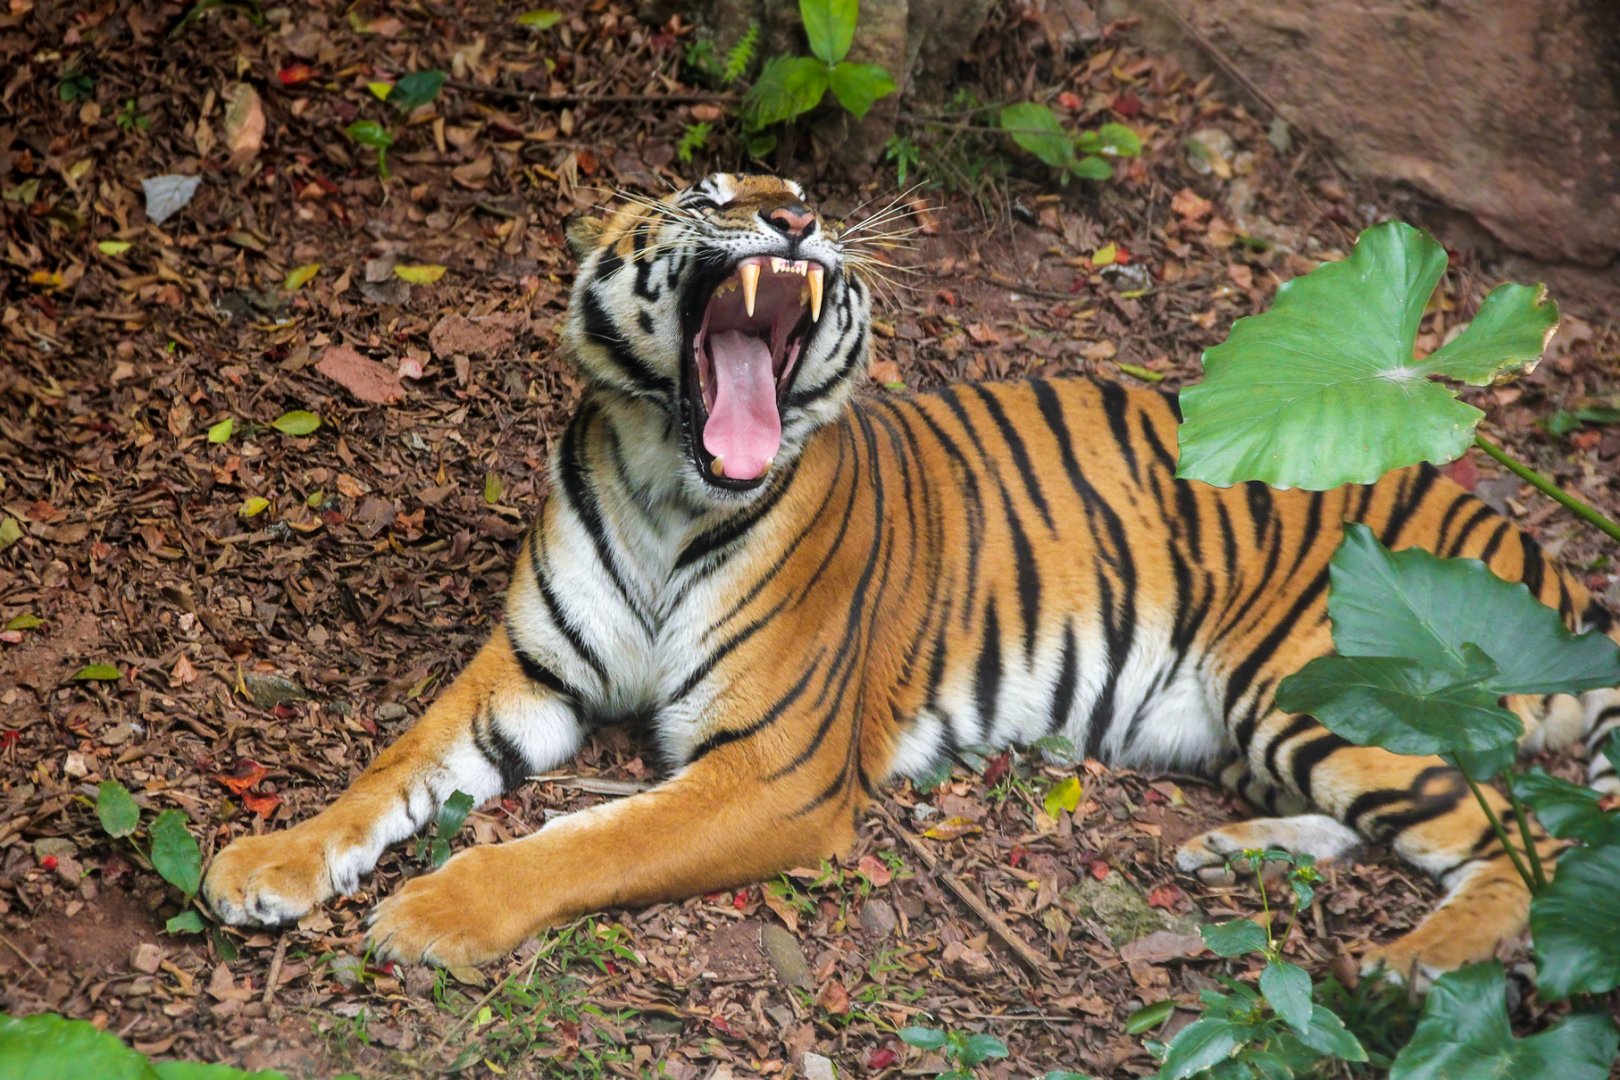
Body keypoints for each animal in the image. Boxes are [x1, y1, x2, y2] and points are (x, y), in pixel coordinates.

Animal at [202, 172, 1620, 986]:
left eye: (802, 192)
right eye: (709, 185)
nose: (794, 219)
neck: (670, 481)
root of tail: (1541, 562)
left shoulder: (775, 767)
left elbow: (581, 841)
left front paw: (432, 916)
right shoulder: (527, 671)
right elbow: (393, 767)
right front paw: (267, 864)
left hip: (1330, 687)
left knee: (1530, 841)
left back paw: (1413, 965)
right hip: (1273, 723)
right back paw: (1234, 855)